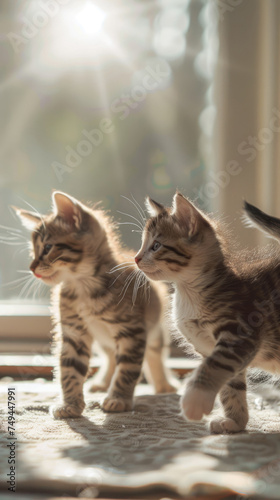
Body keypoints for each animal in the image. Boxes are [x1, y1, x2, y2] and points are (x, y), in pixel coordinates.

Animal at [14, 191, 175, 418]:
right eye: (33, 252)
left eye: (47, 248)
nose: (32, 268)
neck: (84, 287)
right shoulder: (74, 331)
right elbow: (70, 368)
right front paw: (70, 404)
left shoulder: (132, 331)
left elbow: (127, 368)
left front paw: (119, 399)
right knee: (111, 357)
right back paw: (102, 382)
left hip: (154, 328)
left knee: (154, 354)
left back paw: (163, 385)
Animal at [135, 193, 280, 436]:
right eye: (142, 244)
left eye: (155, 246)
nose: (136, 258)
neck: (189, 293)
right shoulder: (208, 347)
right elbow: (230, 387)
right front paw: (235, 422)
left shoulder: (240, 333)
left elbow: (213, 367)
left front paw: (194, 401)